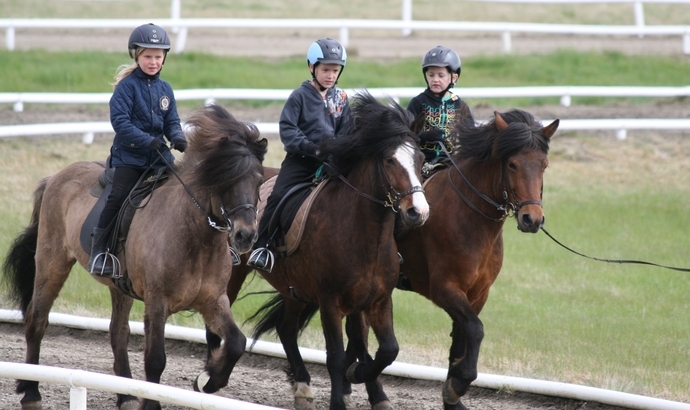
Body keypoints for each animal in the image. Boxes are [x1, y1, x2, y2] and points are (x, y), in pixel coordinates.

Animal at [2, 104, 266, 410]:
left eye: (259, 180)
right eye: (226, 178)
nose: (246, 236)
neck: (196, 237)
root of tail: (57, 176)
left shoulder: (213, 301)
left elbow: (236, 342)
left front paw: (209, 380)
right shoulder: (157, 302)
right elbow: (155, 360)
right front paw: (153, 403)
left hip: (119, 285)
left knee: (118, 332)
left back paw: (126, 395)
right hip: (53, 261)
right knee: (37, 319)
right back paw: (31, 392)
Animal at [340, 109, 560, 410]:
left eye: (544, 165)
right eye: (512, 164)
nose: (532, 219)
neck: (470, 216)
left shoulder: (477, 294)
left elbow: (461, 337)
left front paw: (452, 397)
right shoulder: (444, 289)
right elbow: (475, 330)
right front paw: (458, 383)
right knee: (357, 330)